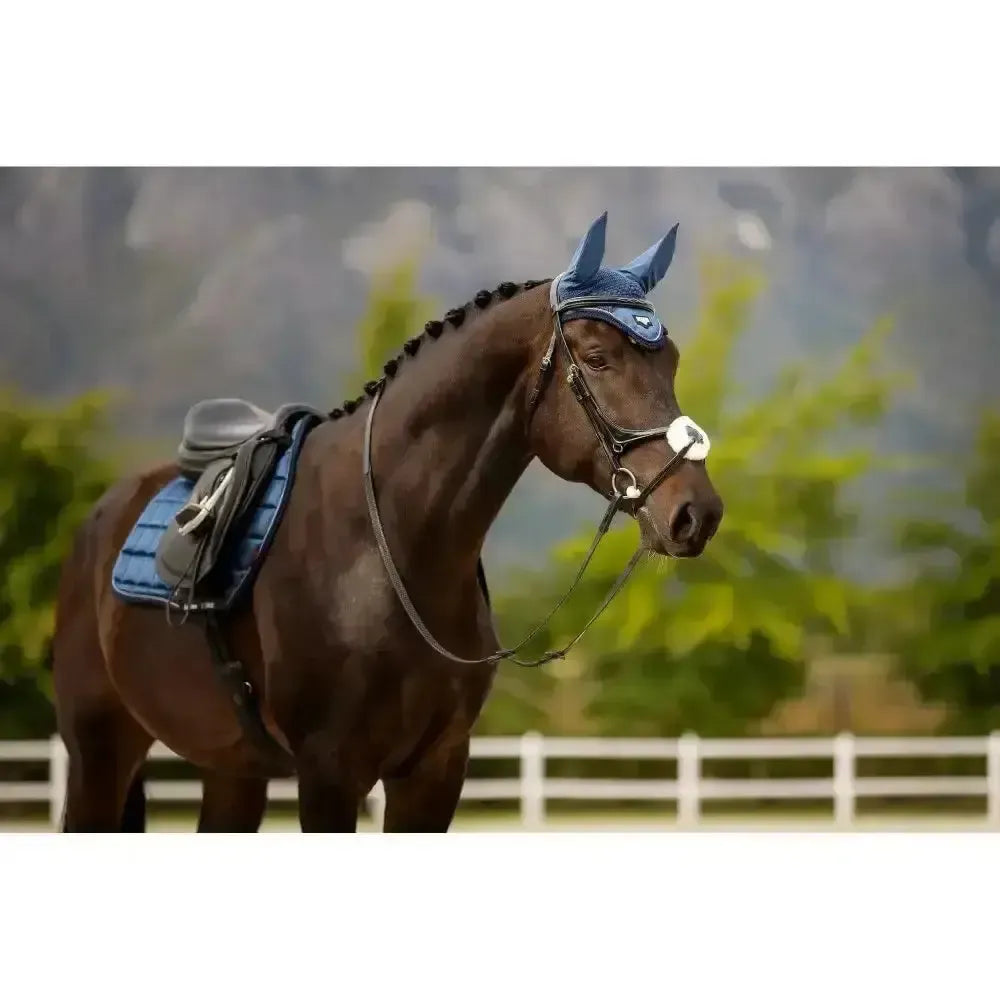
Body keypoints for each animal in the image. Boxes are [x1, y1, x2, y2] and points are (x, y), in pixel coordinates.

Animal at [51, 211, 723, 832]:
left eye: (671, 361)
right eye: (598, 358)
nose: (698, 513)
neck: (386, 551)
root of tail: (102, 516)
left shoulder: (434, 770)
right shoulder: (329, 772)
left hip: (230, 770)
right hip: (98, 751)